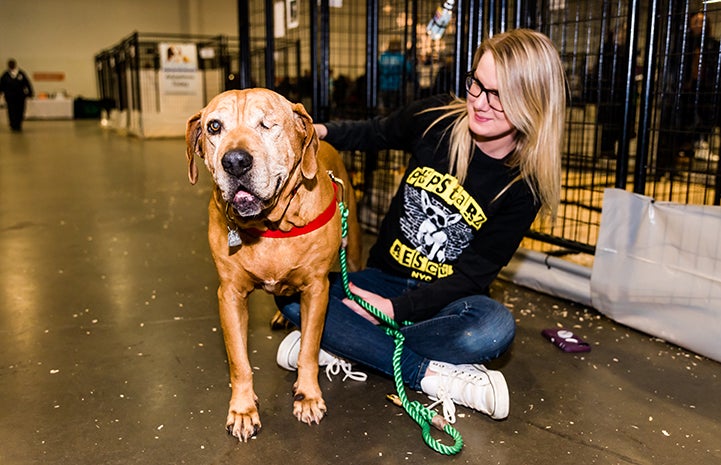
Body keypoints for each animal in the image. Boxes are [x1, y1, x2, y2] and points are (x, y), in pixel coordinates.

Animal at [186, 89, 362, 440]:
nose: (235, 161)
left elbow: (309, 349)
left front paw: (308, 396)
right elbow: (238, 360)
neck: (269, 225)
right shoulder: (230, 296)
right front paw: (242, 409)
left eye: (267, 123)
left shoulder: (316, 290)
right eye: (214, 126)